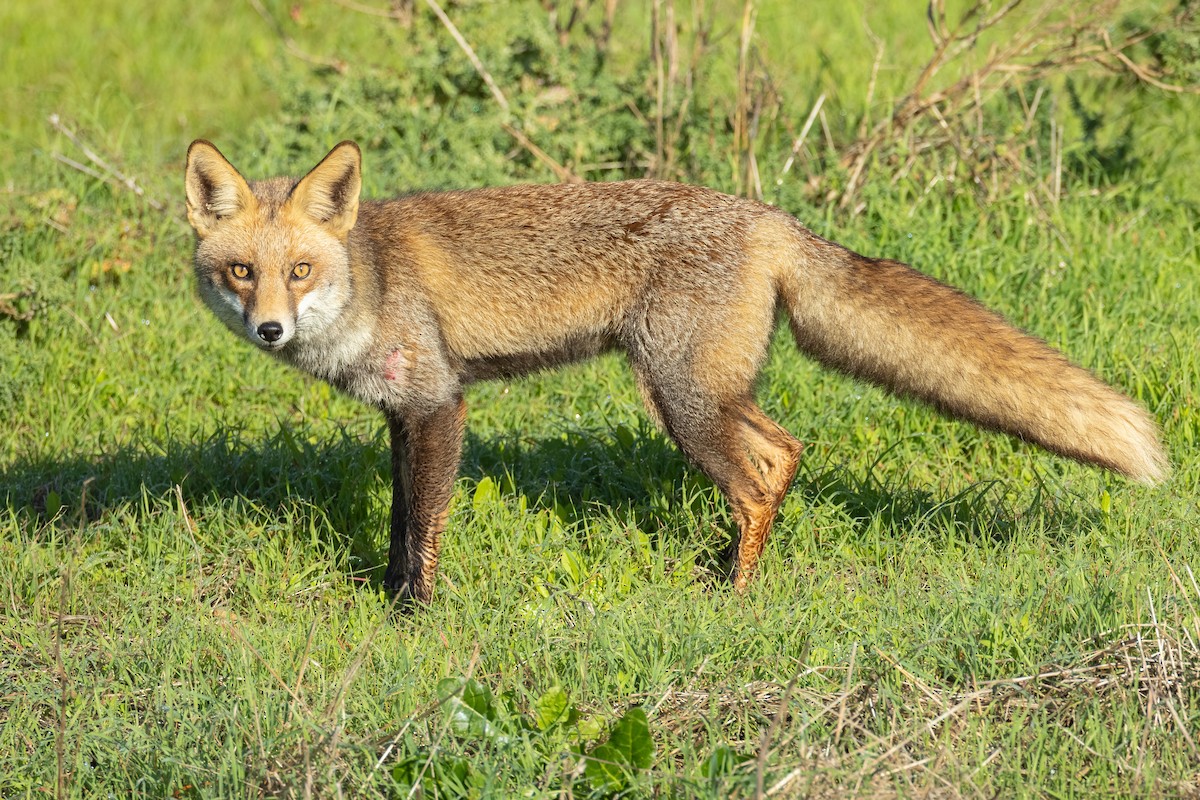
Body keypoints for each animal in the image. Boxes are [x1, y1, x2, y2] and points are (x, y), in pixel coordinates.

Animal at [184, 139, 1168, 605]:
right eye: (240, 272)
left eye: (299, 271)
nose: (269, 328)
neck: (370, 279)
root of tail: (771, 217)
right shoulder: (399, 416)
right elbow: (396, 525)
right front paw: (390, 598)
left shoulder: (438, 403)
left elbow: (422, 527)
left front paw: (412, 618)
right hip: (707, 393)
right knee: (787, 450)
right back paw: (731, 567)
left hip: (681, 400)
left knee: (759, 478)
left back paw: (731, 595)